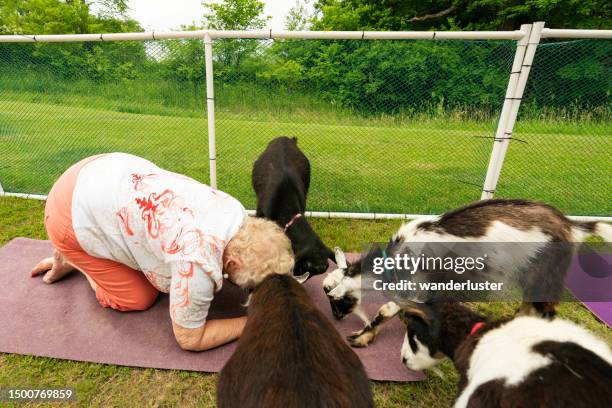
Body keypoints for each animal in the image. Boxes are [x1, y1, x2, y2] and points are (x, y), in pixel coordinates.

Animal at [322, 199, 608, 346]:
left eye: (335, 299)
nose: (336, 319)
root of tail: (570, 225)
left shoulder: (417, 284)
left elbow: (385, 310)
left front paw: (361, 337)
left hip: (545, 273)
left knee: (545, 310)